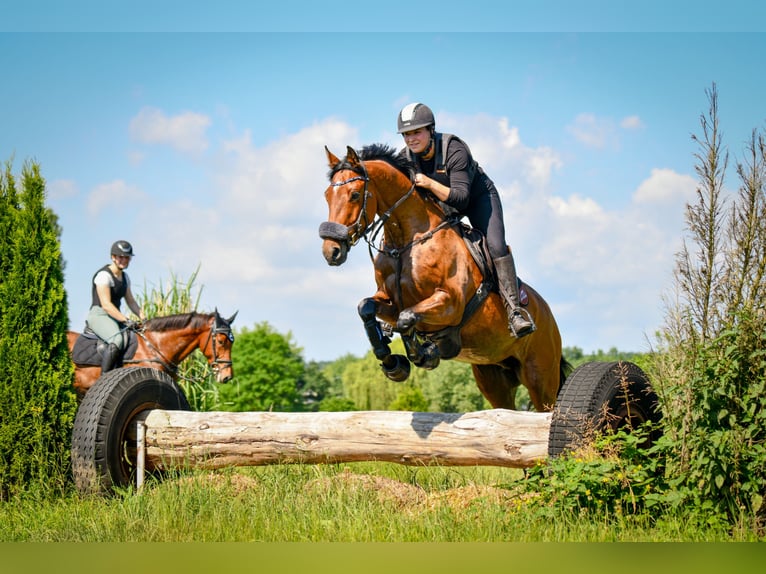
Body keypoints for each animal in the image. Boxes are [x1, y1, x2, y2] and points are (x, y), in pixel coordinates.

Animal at [320, 144, 570, 411]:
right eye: (327, 196)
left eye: (355, 195)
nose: (331, 251)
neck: (407, 241)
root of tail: (547, 313)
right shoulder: (388, 300)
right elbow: (366, 307)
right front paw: (392, 363)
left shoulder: (450, 303)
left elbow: (406, 319)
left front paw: (425, 354)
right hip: (493, 376)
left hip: (540, 377)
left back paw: (519, 322)